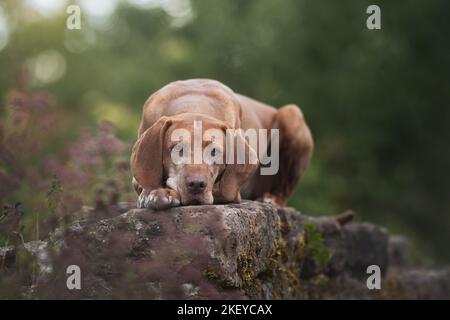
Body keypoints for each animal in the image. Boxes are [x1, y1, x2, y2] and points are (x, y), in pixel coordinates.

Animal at [130, 79, 312, 210]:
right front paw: (154, 193)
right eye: (177, 149)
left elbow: (220, 189)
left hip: (292, 113)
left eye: (214, 151)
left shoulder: (231, 191)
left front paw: (167, 192)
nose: (197, 185)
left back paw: (271, 198)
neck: (195, 102)